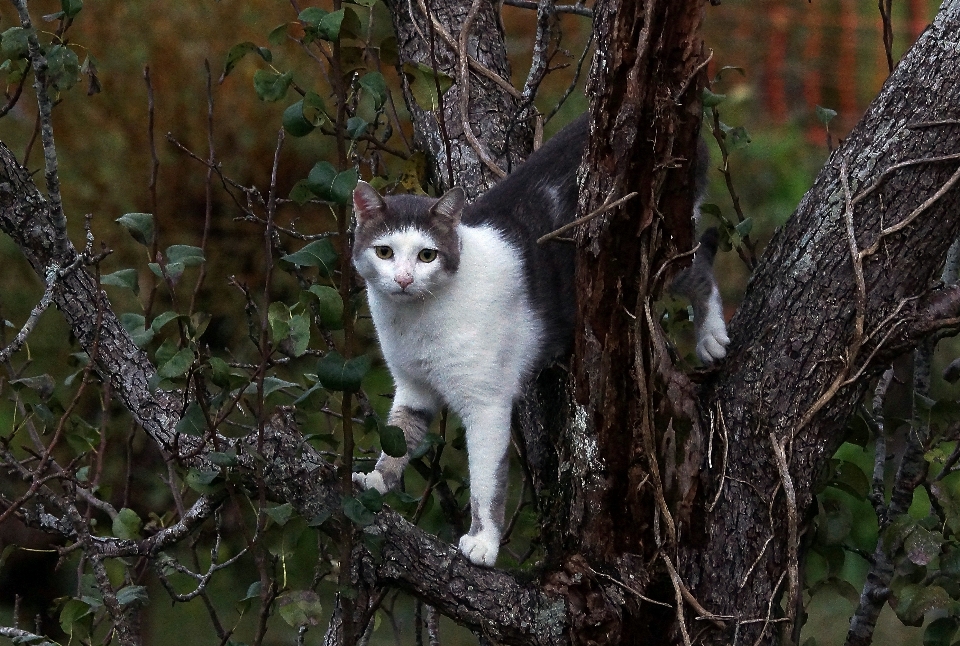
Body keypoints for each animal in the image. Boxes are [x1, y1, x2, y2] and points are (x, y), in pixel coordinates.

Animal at [350, 116, 728, 568]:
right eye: (384, 252)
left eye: (427, 255)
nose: (404, 279)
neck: (414, 321)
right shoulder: (413, 388)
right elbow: (398, 436)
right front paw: (376, 480)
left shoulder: (487, 404)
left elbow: (487, 483)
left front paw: (483, 543)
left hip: (661, 257)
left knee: (702, 267)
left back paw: (712, 337)